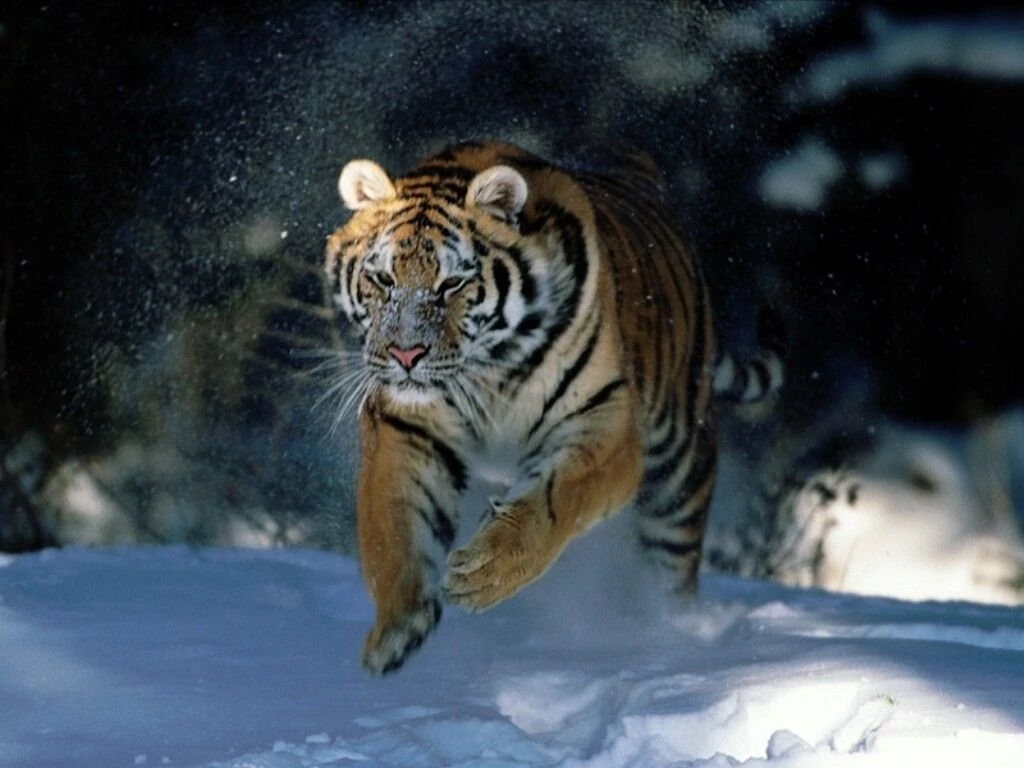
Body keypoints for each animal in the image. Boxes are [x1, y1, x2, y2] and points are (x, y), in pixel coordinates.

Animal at [323, 141, 783, 675]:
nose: (405, 355)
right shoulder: (405, 426)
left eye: (452, 284)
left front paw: (485, 573)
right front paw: (397, 628)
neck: (489, 370)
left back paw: (672, 638)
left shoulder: (603, 420)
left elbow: (555, 500)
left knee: (672, 575)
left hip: (679, 475)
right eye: (382, 278)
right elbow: (393, 526)